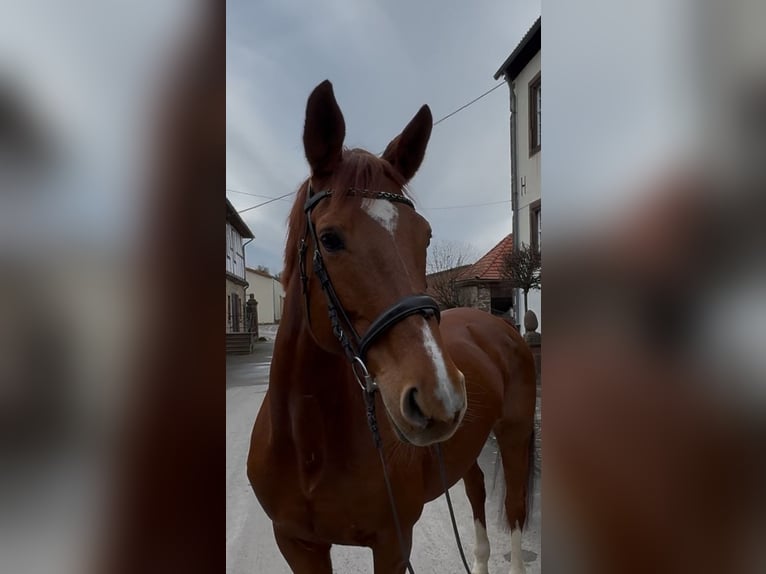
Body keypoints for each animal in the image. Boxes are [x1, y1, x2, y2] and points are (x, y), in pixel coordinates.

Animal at [249, 81, 536, 574]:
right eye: (330, 239)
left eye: (425, 235)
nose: (439, 396)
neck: (309, 446)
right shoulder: (297, 545)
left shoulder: (392, 543)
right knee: (477, 494)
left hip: (514, 436)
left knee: (514, 510)